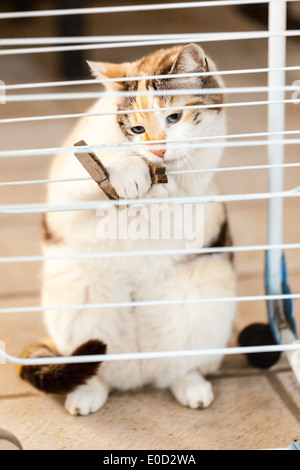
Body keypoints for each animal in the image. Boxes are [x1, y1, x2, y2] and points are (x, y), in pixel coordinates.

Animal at [19, 42, 238, 414]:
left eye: (174, 117)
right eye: (136, 129)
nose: (158, 149)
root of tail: (139, 369)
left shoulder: (199, 178)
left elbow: (177, 187)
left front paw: (157, 184)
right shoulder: (69, 175)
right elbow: (105, 165)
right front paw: (131, 174)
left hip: (208, 294)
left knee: (178, 367)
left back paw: (192, 388)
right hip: (75, 305)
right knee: (94, 370)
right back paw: (86, 396)